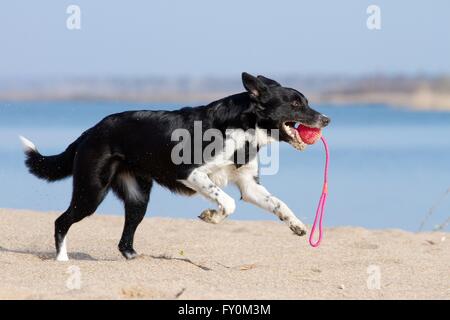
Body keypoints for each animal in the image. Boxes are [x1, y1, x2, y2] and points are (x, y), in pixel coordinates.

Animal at [20, 72, 330, 260]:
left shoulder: (248, 185)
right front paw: (211, 216)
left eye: (305, 102)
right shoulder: (190, 172)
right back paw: (62, 259)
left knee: (124, 238)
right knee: (62, 221)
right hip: (91, 191)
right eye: (295, 103)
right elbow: (227, 202)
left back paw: (135, 258)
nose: (326, 120)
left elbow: (278, 203)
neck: (243, 126)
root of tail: (91, 131)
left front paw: (297, 225)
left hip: (137, 198)